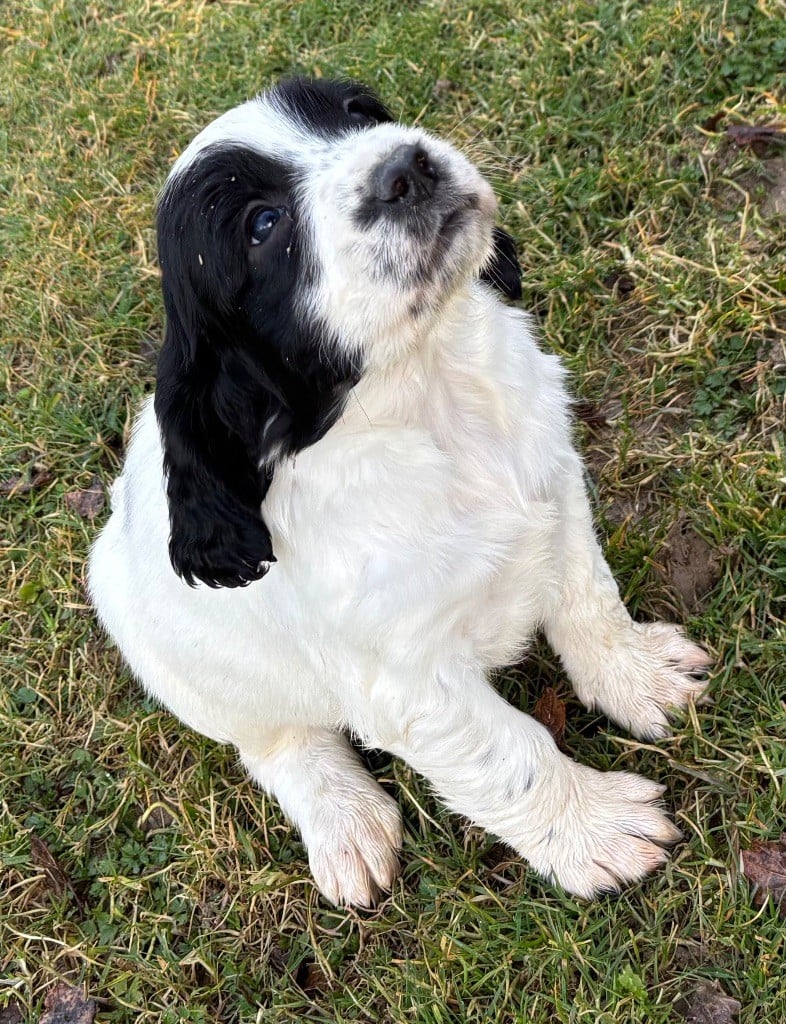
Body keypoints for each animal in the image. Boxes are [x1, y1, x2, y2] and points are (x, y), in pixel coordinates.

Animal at [87, 81, 712, 913]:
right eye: (262, 226)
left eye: (357, 113)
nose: (406, 168)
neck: (429, 397)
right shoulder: (409, 682)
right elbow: (511, 754)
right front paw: (599, 830)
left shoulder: (555, 493)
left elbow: (589, 600)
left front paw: (640, 676)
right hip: (161, 646)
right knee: (275, 740)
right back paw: (346, 822)